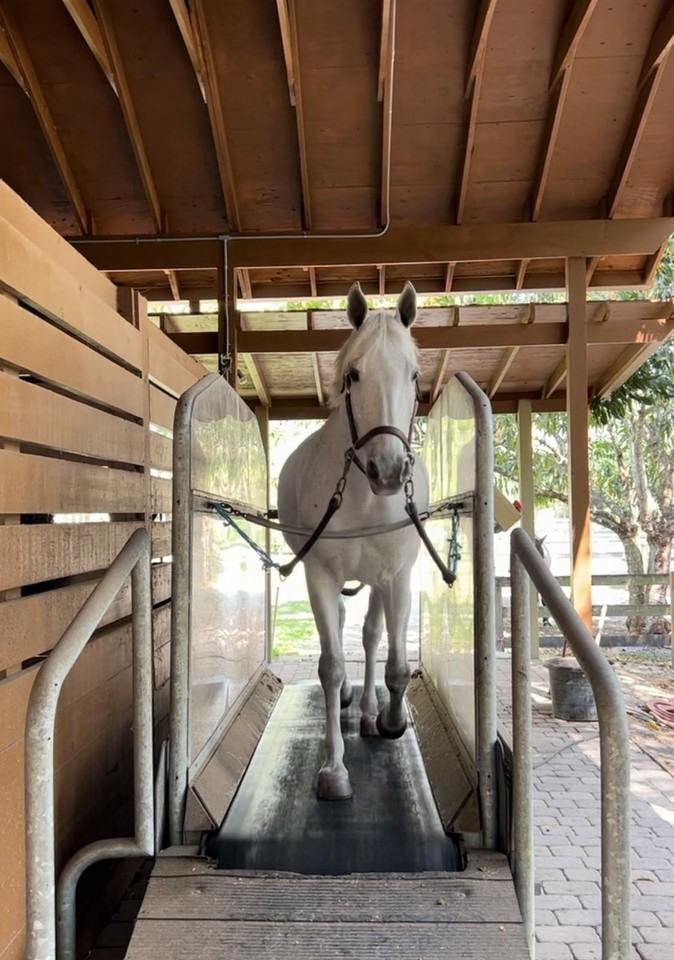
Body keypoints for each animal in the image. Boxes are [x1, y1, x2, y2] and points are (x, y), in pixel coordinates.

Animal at [277, 282, 429, 801]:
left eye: (413, 374)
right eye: (354, 374)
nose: (388, 471)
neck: (364, 498)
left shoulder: (398, 577)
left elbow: (397, 666)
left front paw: (390, 720)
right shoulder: (319, 574)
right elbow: (330, 667)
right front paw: (334, 769)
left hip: (380, 582)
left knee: (370, 635)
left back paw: (367, 713)